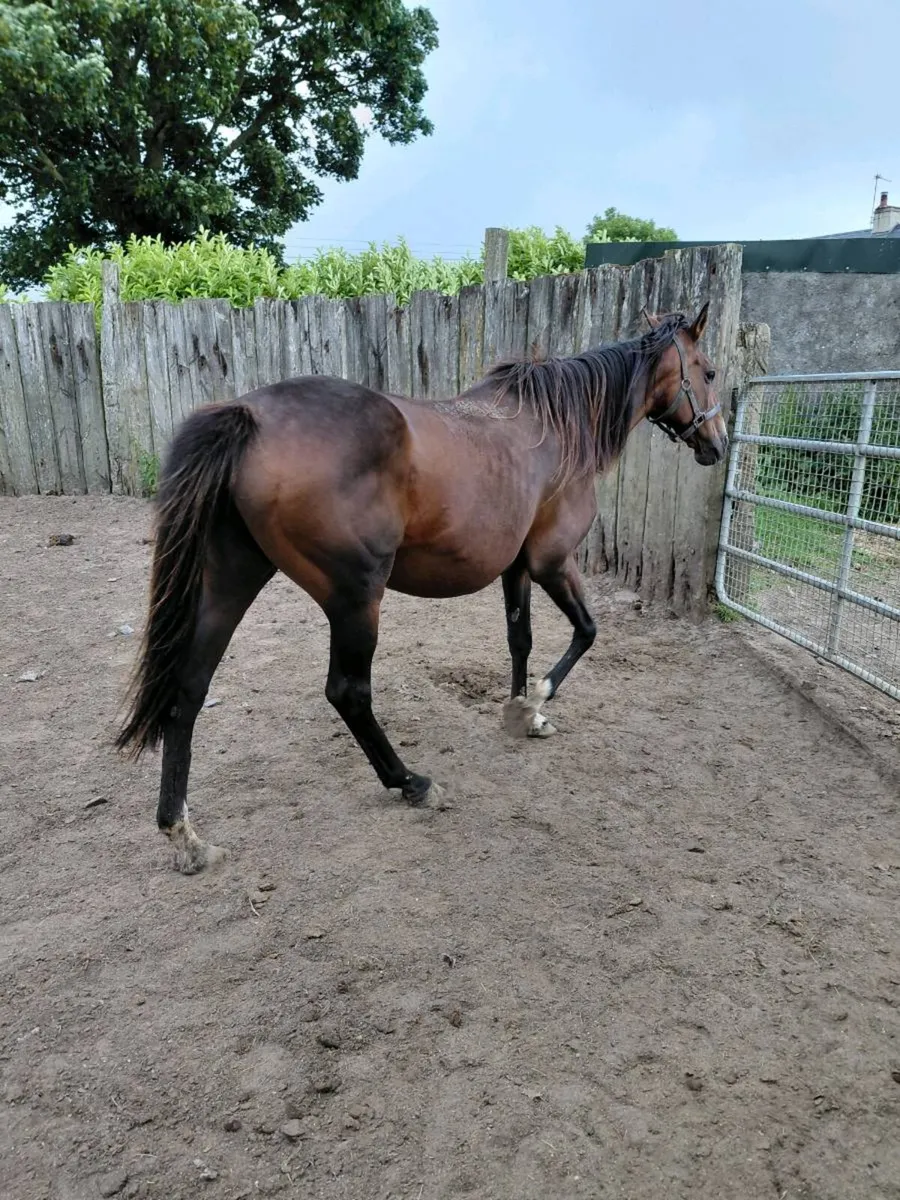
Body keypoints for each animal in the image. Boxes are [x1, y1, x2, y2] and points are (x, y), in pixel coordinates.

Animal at [116, 301, 726, 874]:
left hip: (231, 580)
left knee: (188, 690)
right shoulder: (551, 561)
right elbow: (587, 631)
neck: (555, 426)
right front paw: (533, 707)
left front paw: (521, 711)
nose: (717, 443)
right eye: (710, 372)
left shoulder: (516, 568)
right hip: (357, 599)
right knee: (348, 693)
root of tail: (250, 417)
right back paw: (410, 782)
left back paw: (184, 835)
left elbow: (520, 641)